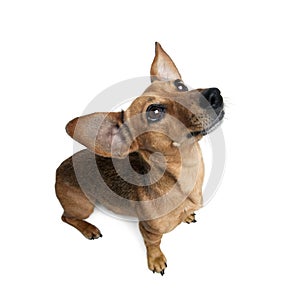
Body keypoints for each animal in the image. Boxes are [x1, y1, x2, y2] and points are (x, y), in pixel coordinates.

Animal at [55, 42, 224, 276]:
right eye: (154, 112)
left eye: (180, 86)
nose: (214, 94)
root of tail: (58, 169)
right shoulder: (148, 229)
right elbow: (153, 244)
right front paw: (156, 259)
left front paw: (187, 216)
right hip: (84, 208)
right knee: (65, 217)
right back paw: (89, 229)